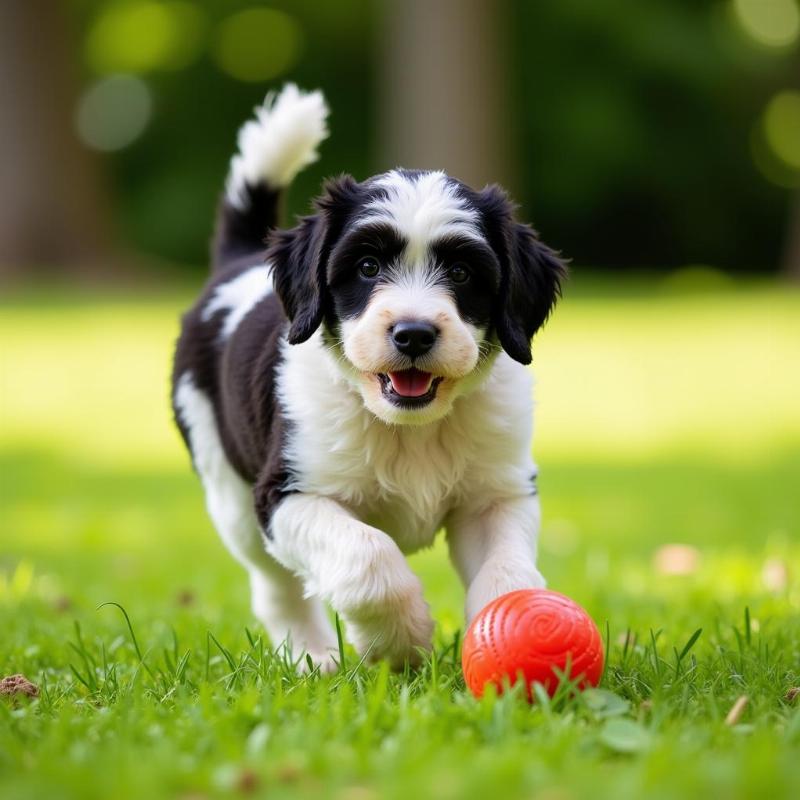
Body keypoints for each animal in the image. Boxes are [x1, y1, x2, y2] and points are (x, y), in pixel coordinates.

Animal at [172, 83, 564, 668]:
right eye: (367, 267)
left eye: (462, 272)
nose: (414, 334)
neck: (410, 428)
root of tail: (237, 265)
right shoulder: (287, 492)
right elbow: (369, 558)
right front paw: (401, 641)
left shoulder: (499, 493)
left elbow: (508, 574)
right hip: (230, 494)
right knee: (275, 588)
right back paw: (311, 658)